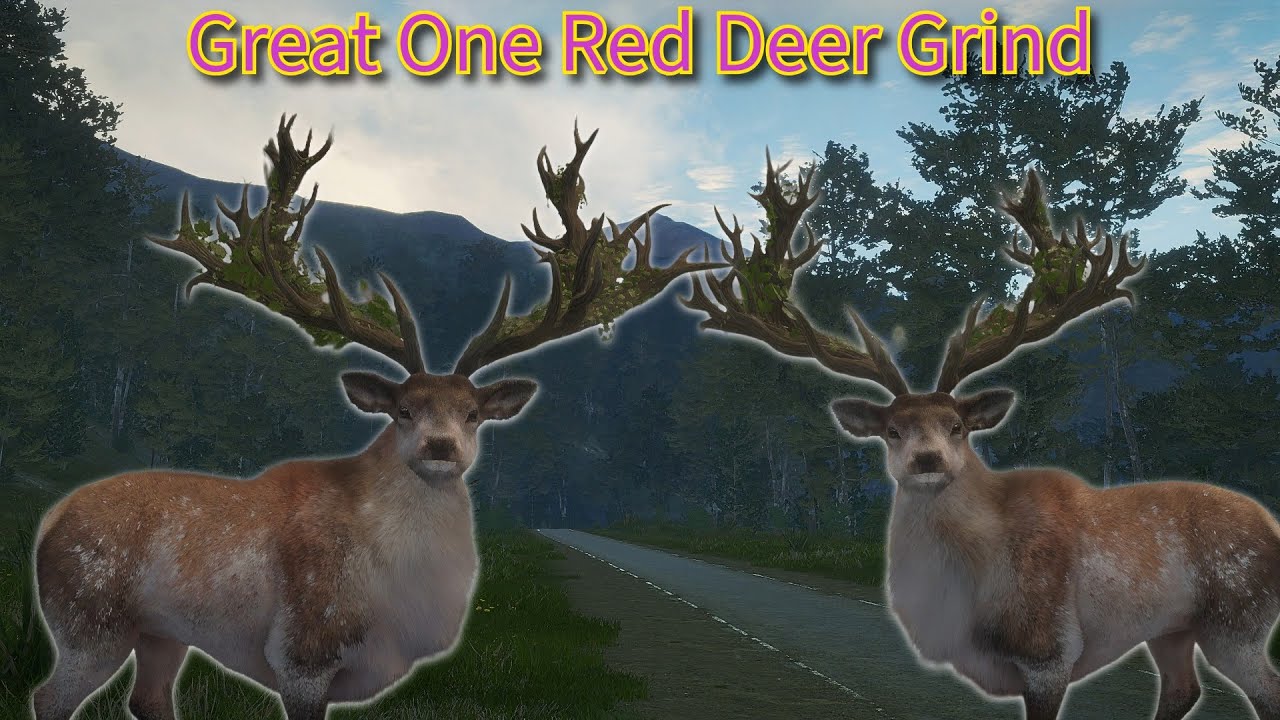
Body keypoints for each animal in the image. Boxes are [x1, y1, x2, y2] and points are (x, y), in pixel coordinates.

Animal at [31, 115, 722, 720]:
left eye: (473, 413)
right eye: (404, 409)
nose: (441, 446)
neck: (401, 607)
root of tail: (47, 522)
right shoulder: (303, 653)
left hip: (160, 633)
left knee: (147, 699)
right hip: (90, 621)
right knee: (49, 697)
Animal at [683, 156, 1280, 720]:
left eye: (957, 425)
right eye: (892, 430)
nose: (927, 459)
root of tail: (1272, 526)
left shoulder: (1048, 650)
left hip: (1237, 620)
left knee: (1263, 691)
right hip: (1173, 628)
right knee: (1183, 688)